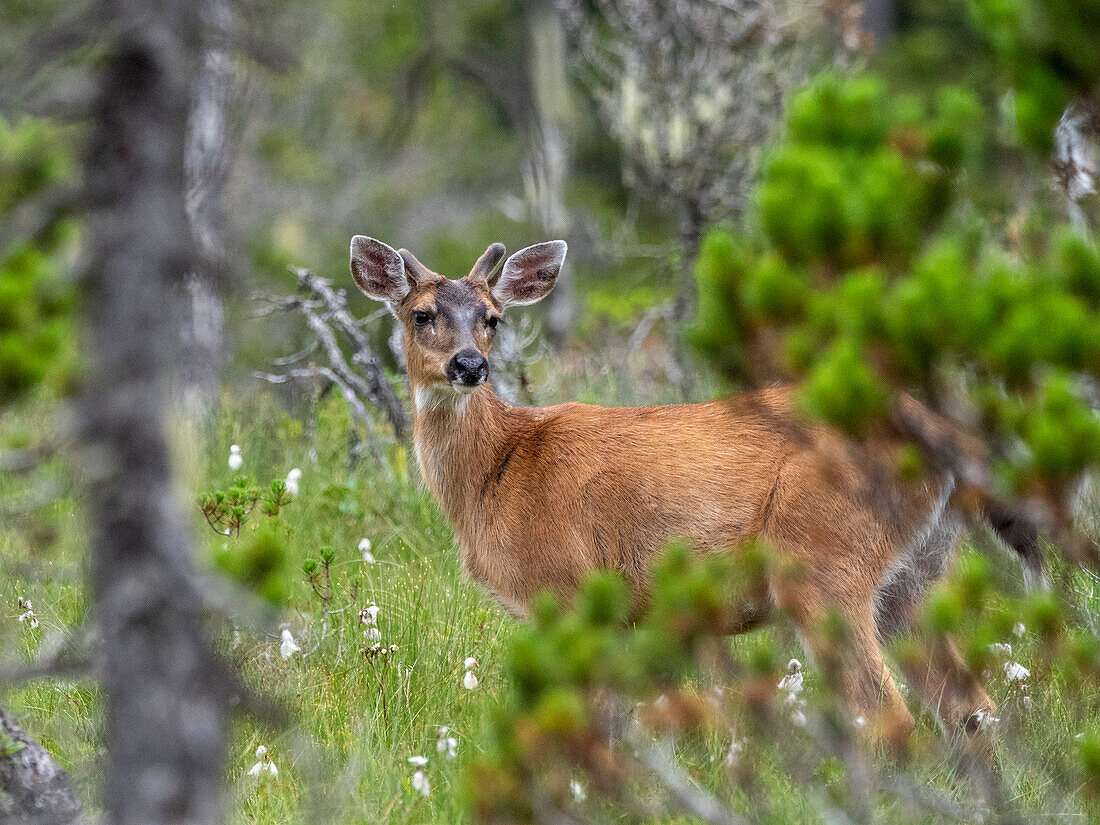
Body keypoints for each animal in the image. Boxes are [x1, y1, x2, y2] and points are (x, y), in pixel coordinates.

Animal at [347, 234, 1042, 756]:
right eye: (420, 315)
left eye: (493, 318)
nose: (470, 365)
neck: (499, 471)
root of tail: (945, 437)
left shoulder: (568, 586)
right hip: (914, 576)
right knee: (972, 709)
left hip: (822, 558)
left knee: (889, 713)